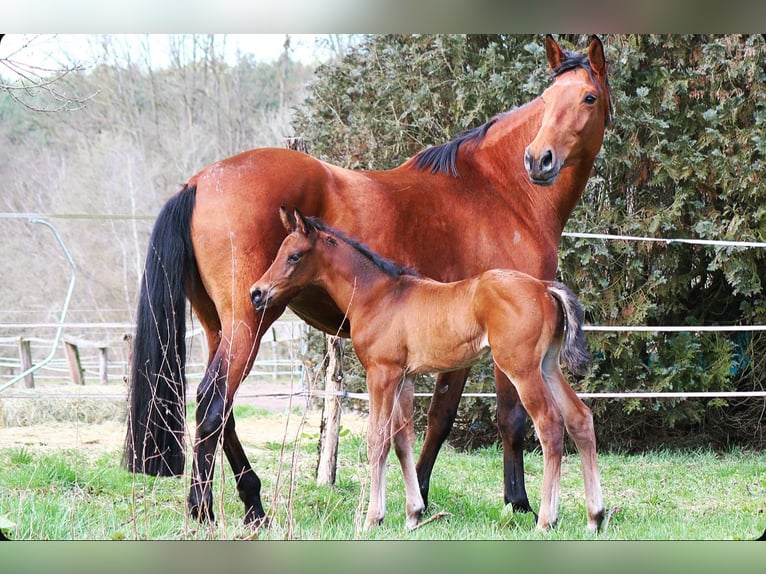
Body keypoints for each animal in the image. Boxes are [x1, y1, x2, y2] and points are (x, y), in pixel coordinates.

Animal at [252, 210, 608, 536]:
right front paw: (413, 514)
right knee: (579, 417)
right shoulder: (405, 379)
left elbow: (377, 439)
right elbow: (402, 440)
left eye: (295, 255)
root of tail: (546, 288)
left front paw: (373, 518)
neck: (380, 296)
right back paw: (595, 517)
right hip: (547, 366)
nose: (257, 293)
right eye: (279, 251)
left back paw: (547, 520)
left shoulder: (381, 375)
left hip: (521, 369)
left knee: (550, 424)